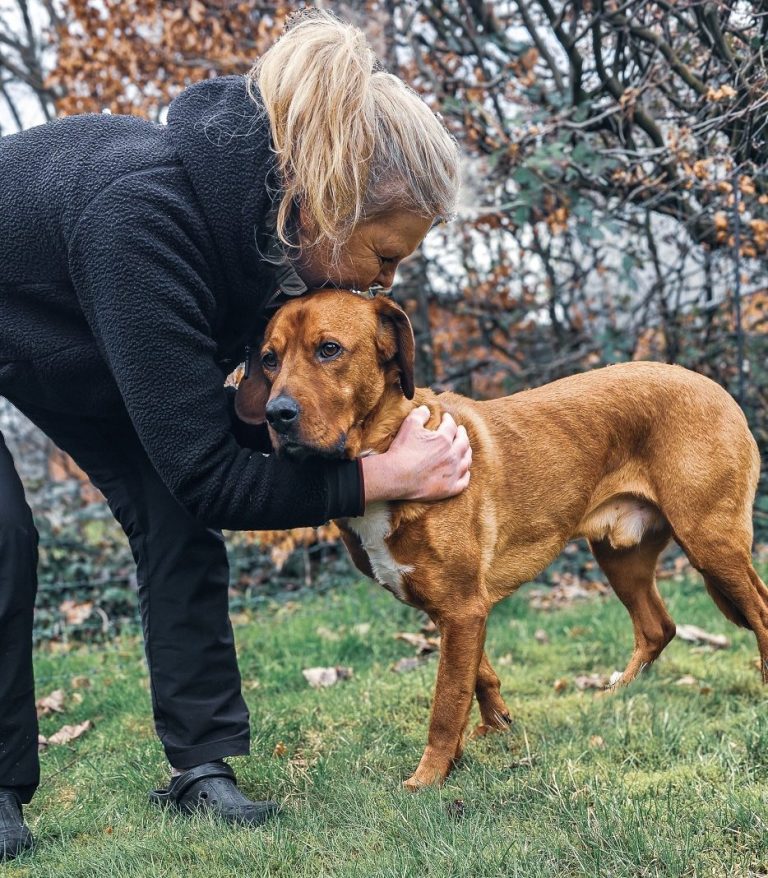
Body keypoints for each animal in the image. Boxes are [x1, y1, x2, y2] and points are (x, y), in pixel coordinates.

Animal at [236, 288, 768, 792]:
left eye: (329, 350)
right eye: (269, 358)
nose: (276, 414)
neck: (386, 449)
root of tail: (715, 387)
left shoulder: (463, 609)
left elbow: (446, 702)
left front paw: (428, 777)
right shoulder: (457, 610)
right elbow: (478, 676)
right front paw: (492, 732)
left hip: (710, 543)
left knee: (759, 613)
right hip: (620, 556)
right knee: (659, 627)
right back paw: (614, 695)